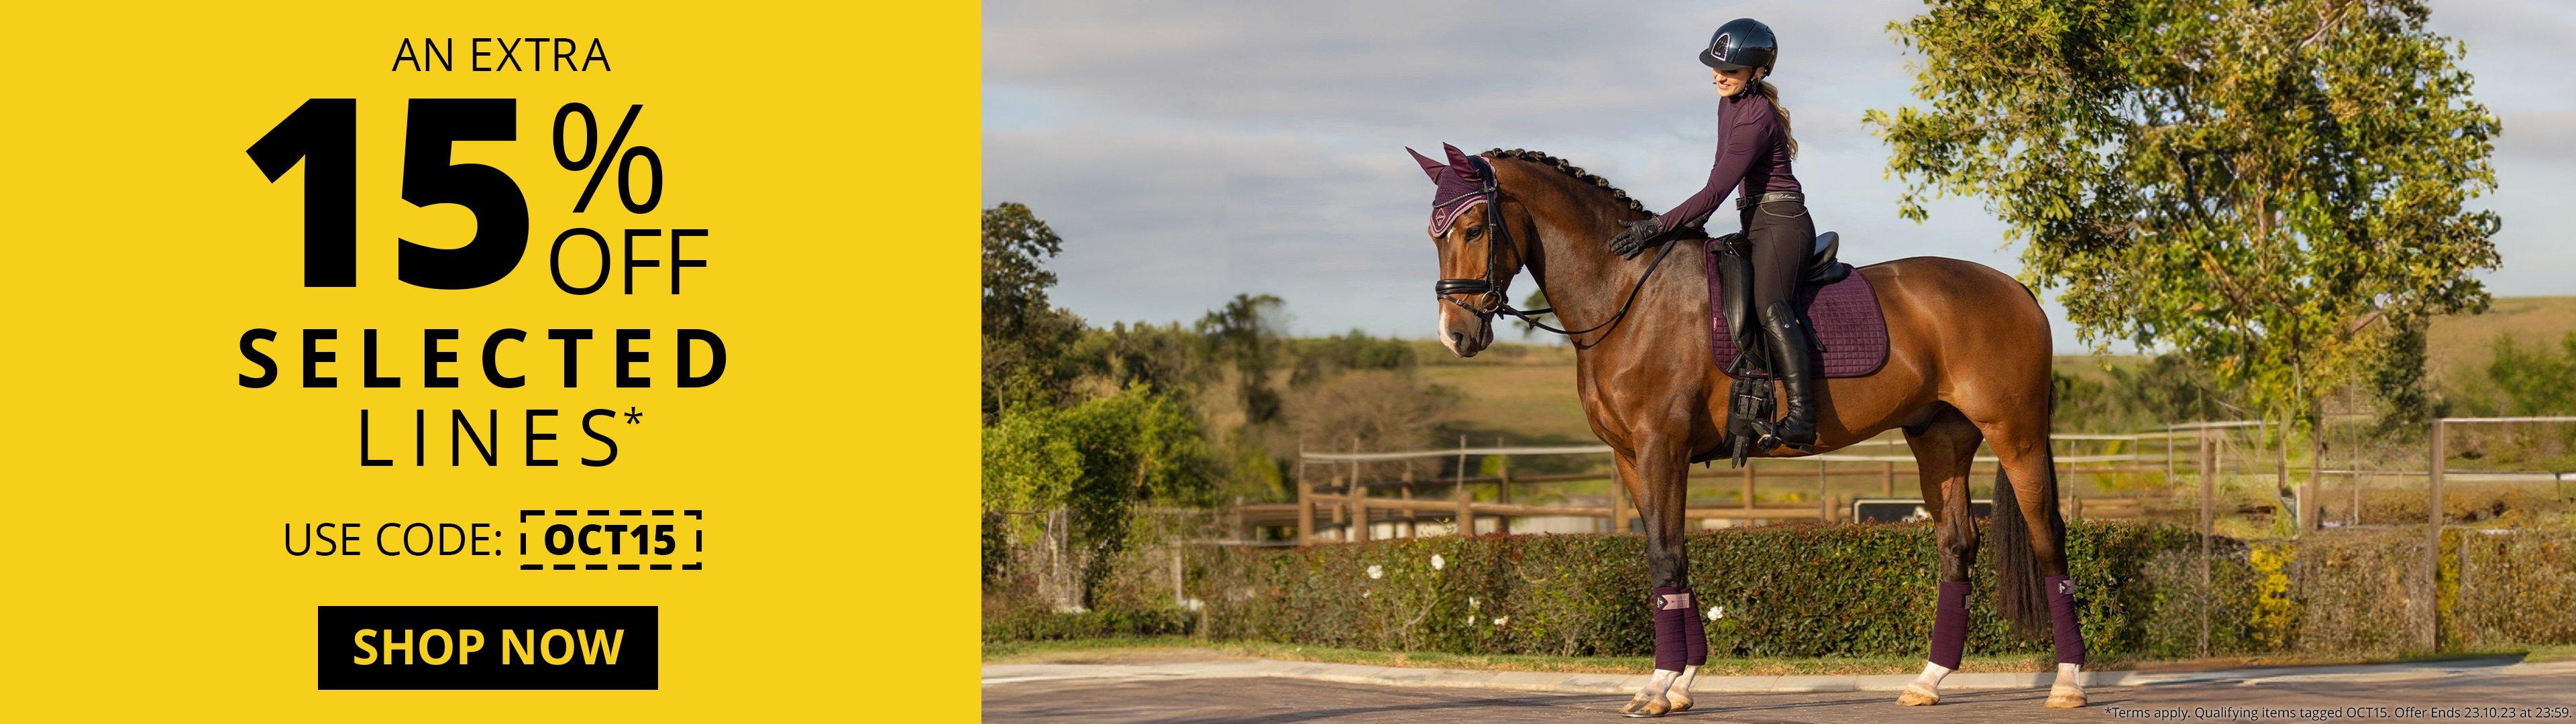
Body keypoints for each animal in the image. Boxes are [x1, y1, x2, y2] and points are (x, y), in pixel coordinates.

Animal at [1411, 145, 2092, 711]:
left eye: (1474, 229)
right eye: (1433, 235)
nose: (1455, 335)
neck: (1629, 294)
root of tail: (2016, 289)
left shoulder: (1661, 448)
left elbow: (1665, 557)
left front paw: (1660, 685)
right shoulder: (1633, 457)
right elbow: (1671, 555)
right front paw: (1682, 681)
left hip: (2016, 435)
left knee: (2047, 538)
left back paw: (2067, 683)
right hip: (1940, 440)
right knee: (1957, 545)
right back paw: (1929, 681)